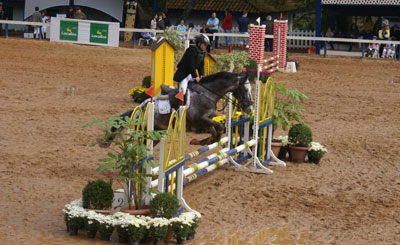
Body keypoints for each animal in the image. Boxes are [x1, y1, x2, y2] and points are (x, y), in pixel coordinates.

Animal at [101, 72, 252, 146]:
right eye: (245, 90)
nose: (250, 109)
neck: (207, 93)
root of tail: (137, 110)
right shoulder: (199, 119)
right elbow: (219, 128)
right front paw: (203, 141)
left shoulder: (206, 119)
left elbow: (217, 130)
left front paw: (202, 141)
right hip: (144, 130)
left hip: (157, 132)